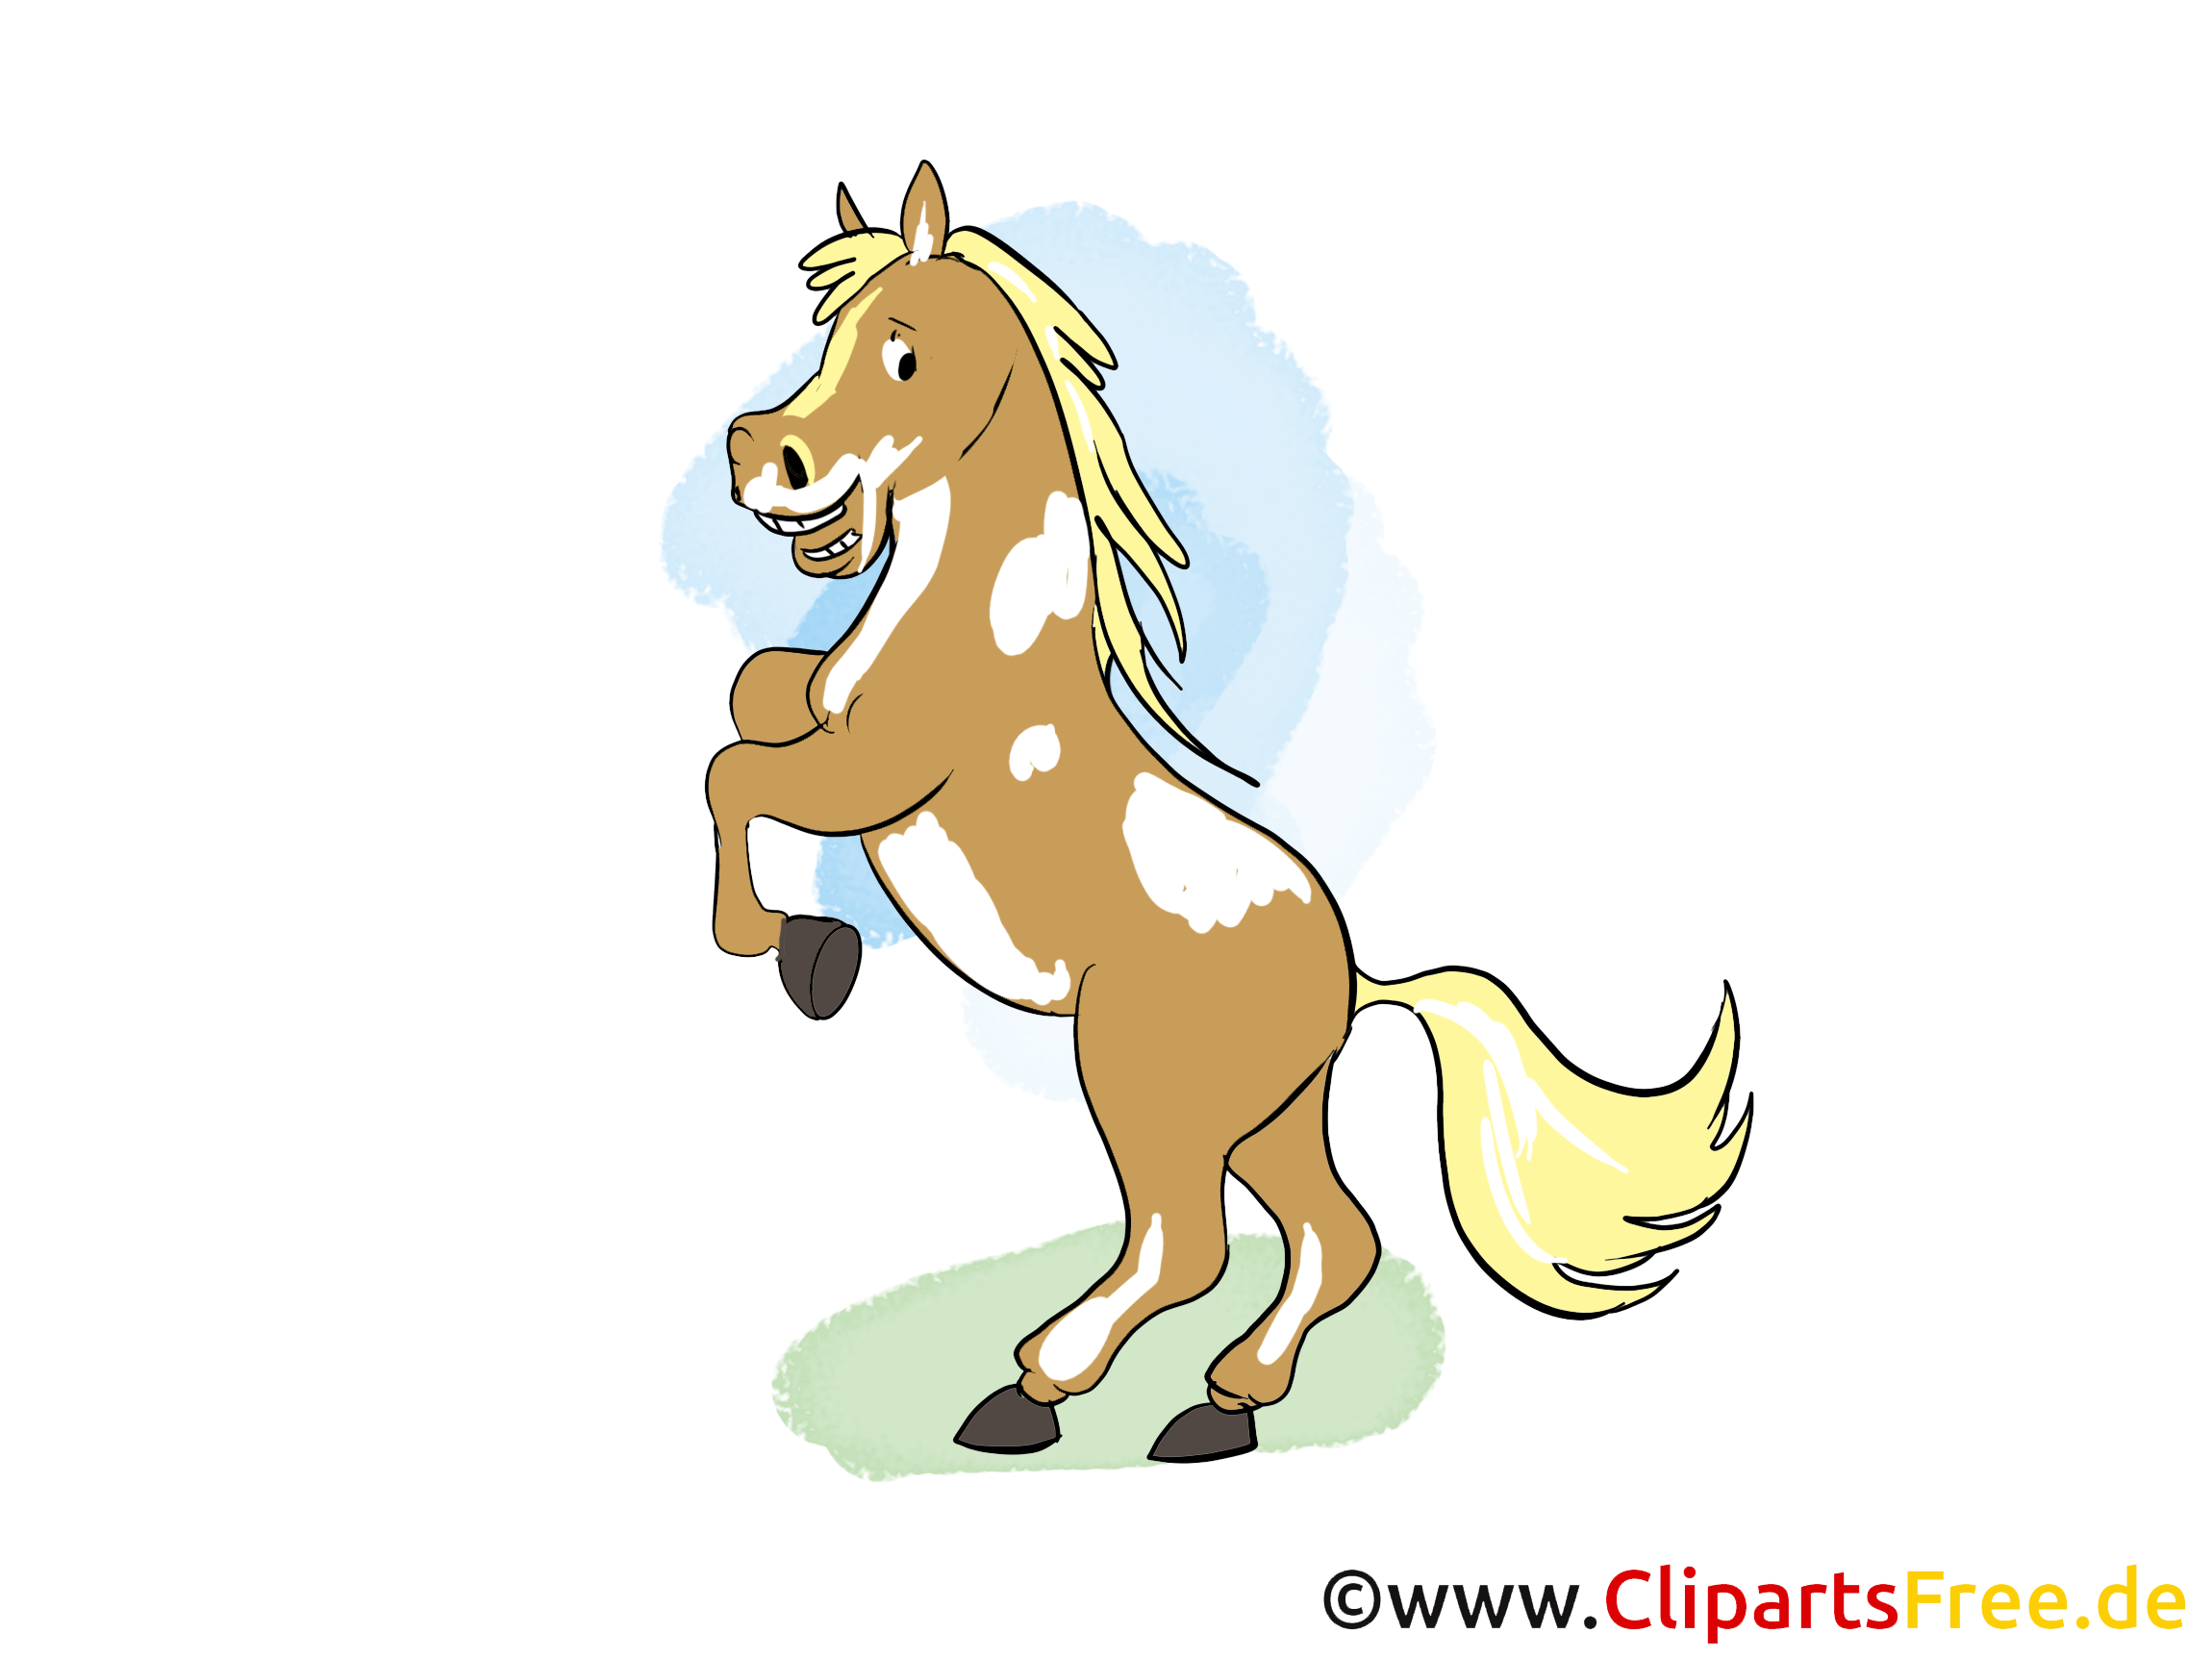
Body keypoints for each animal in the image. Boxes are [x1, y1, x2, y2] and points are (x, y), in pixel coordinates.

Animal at [706, 162, 1751, 1464]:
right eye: (827, 337)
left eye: (901, 352)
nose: (759, 455)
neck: (981, 630)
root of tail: (1354, 977)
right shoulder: (825, 716)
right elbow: (750, 701)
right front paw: (806, 947)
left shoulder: (880, 775)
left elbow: (733, 773)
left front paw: (803, 954)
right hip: (1265, 1115)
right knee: (1331, 1237)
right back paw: (1222, 1404)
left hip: (1147, 1085)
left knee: (1184, 1245)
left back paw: (1035, 1394)